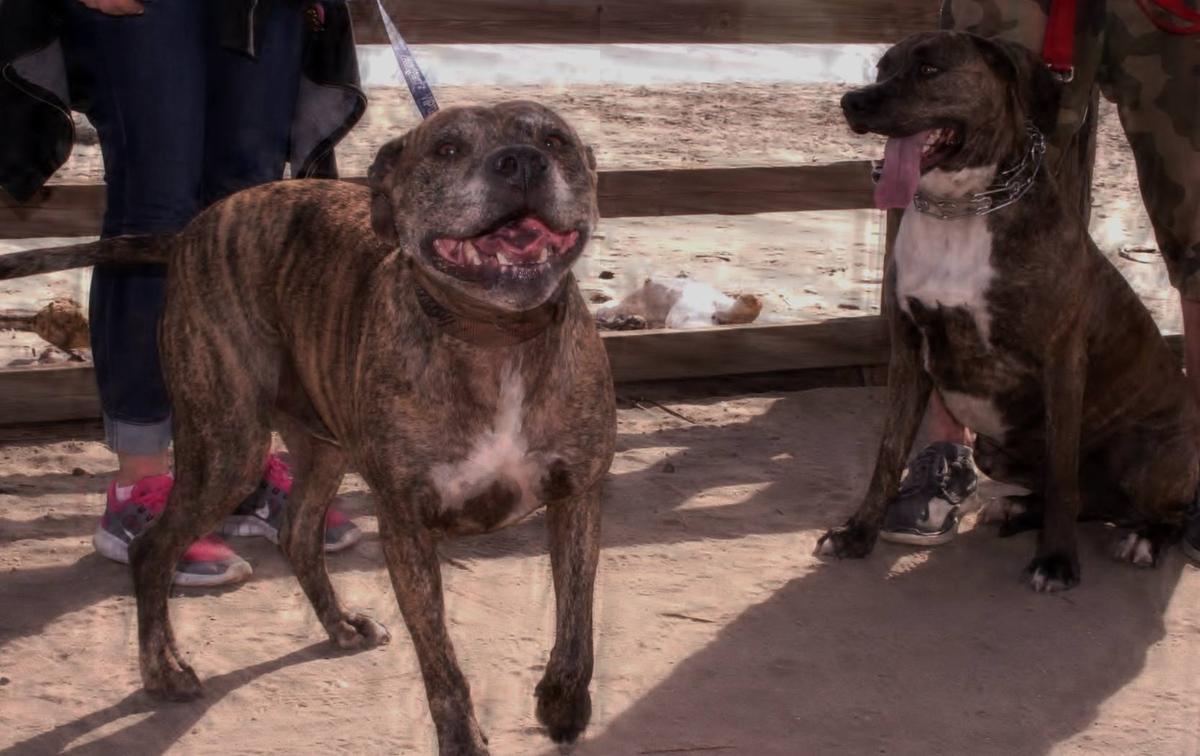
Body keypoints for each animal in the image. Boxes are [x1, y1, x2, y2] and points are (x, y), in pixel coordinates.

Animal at [0, 102, 614, 756]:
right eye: (447, 148)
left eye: (555, 139)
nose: (521, 162)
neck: (495, 336)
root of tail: (192, 231)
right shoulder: (406, 526)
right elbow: (442, 664)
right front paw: (463, 740)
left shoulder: (578, 496)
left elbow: (578, 621)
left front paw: (563, 702)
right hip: (228, 446)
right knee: (152, 549)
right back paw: (163, 669)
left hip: (323, 446)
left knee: (297, 532)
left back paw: (339, 624)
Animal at [816, 31, 1200, 592]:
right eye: (883, 67)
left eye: (929, 70)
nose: (853, 102)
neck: (959, 210)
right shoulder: (907, 350)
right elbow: (888, 454)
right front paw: (857, 532)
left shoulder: (1062, 363)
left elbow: (1062, 476)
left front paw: (1056, 560)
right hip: (990, 449)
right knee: (1091, 500)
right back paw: (1018, 508)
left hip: (1147, 453)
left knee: (1151, 507)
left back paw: (1145, 537)